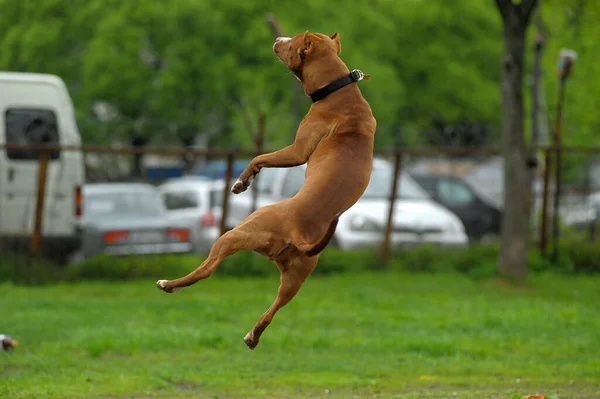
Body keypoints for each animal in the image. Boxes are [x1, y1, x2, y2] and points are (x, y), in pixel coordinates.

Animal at [157, 31, 378, 350]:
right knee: (272, 311)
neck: (340, 91)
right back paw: (253, 337)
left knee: (207, 270)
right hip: (294, 281)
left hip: (234, 234)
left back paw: (169, 285)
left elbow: (259, 158)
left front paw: (242, 182)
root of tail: (297, 234)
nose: (278, 37)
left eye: (292, 41)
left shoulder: (297, 151)